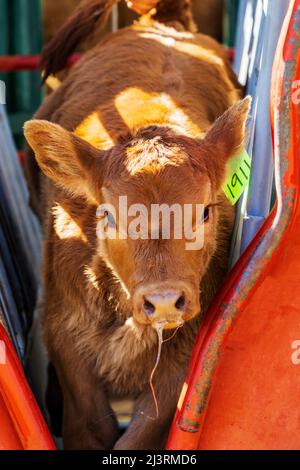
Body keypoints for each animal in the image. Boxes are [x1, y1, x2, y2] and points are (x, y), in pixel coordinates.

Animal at [24, 0, 248, 448]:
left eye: (205, 211)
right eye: (108, 214)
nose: (163, 300)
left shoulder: (183, 355)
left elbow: (142, 433)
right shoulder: (64, 334)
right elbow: (91, 424)